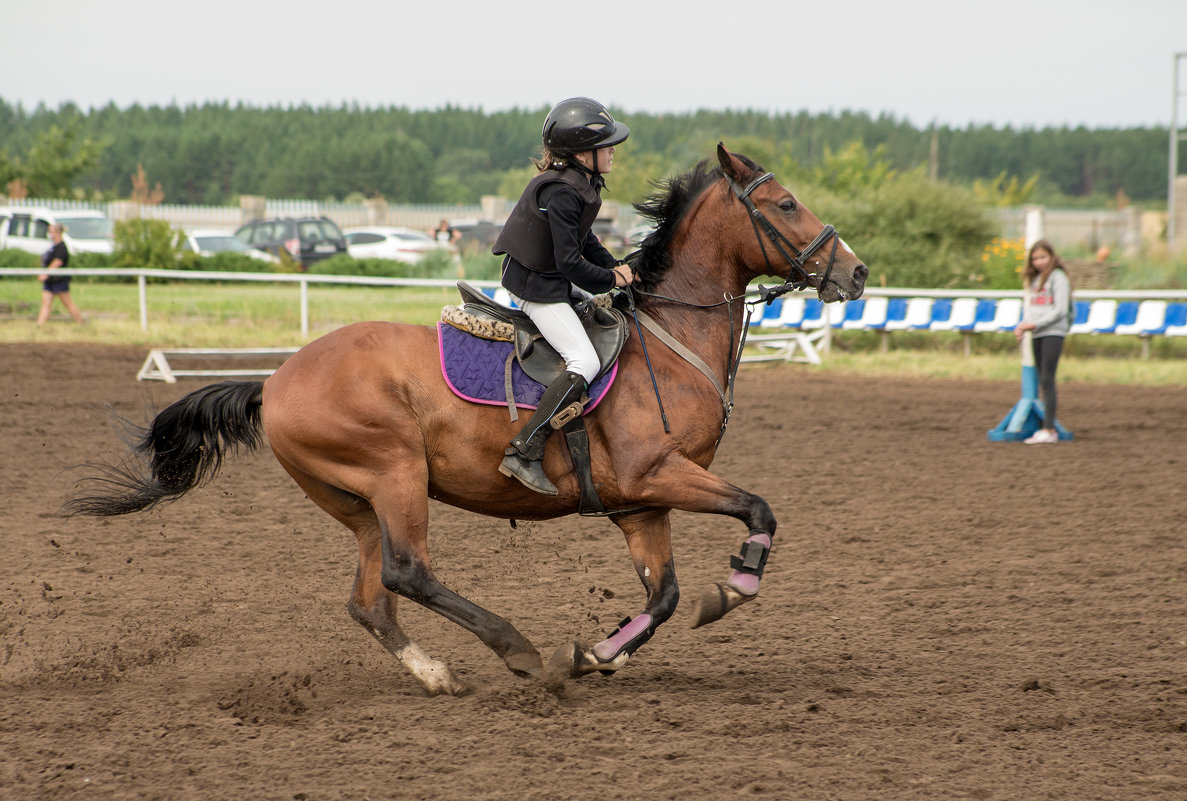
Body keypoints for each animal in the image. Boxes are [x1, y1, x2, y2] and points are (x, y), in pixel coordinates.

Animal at [64, 144, 868, 697]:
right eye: (786, 204)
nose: (855, 274)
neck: (672, 339)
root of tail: (277, 380)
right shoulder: (659, 475)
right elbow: (758, 510)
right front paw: (732, 588)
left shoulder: (641, 502)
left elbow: (664, 596)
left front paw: (597, 654)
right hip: (395, 472)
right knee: (409, 572)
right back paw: (515, 649)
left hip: (357, 500)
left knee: (371, 599)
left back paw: (437, 673)